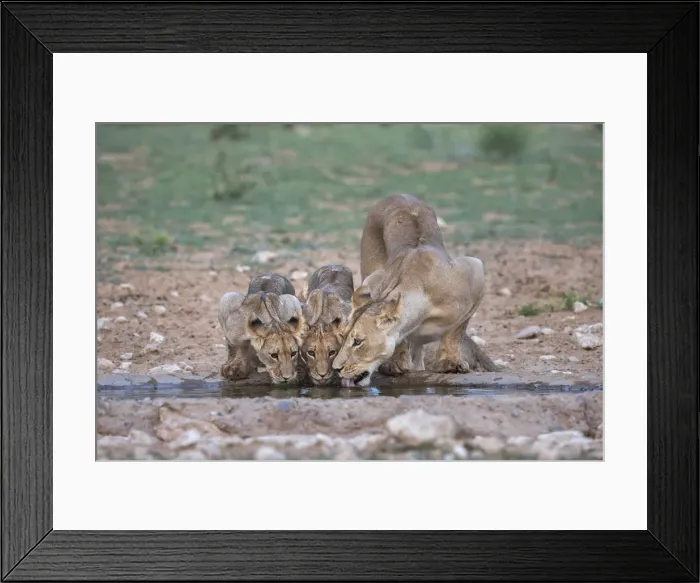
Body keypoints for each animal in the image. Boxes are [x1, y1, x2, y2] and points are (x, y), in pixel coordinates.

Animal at [332, 193, 497, 387]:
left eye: (358, 342)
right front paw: (396, 363)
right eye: (343, 337)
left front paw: (451, 362)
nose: (336, 368)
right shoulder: (377, 279)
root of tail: (398, 194)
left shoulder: (475, 271)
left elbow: (456, 331)